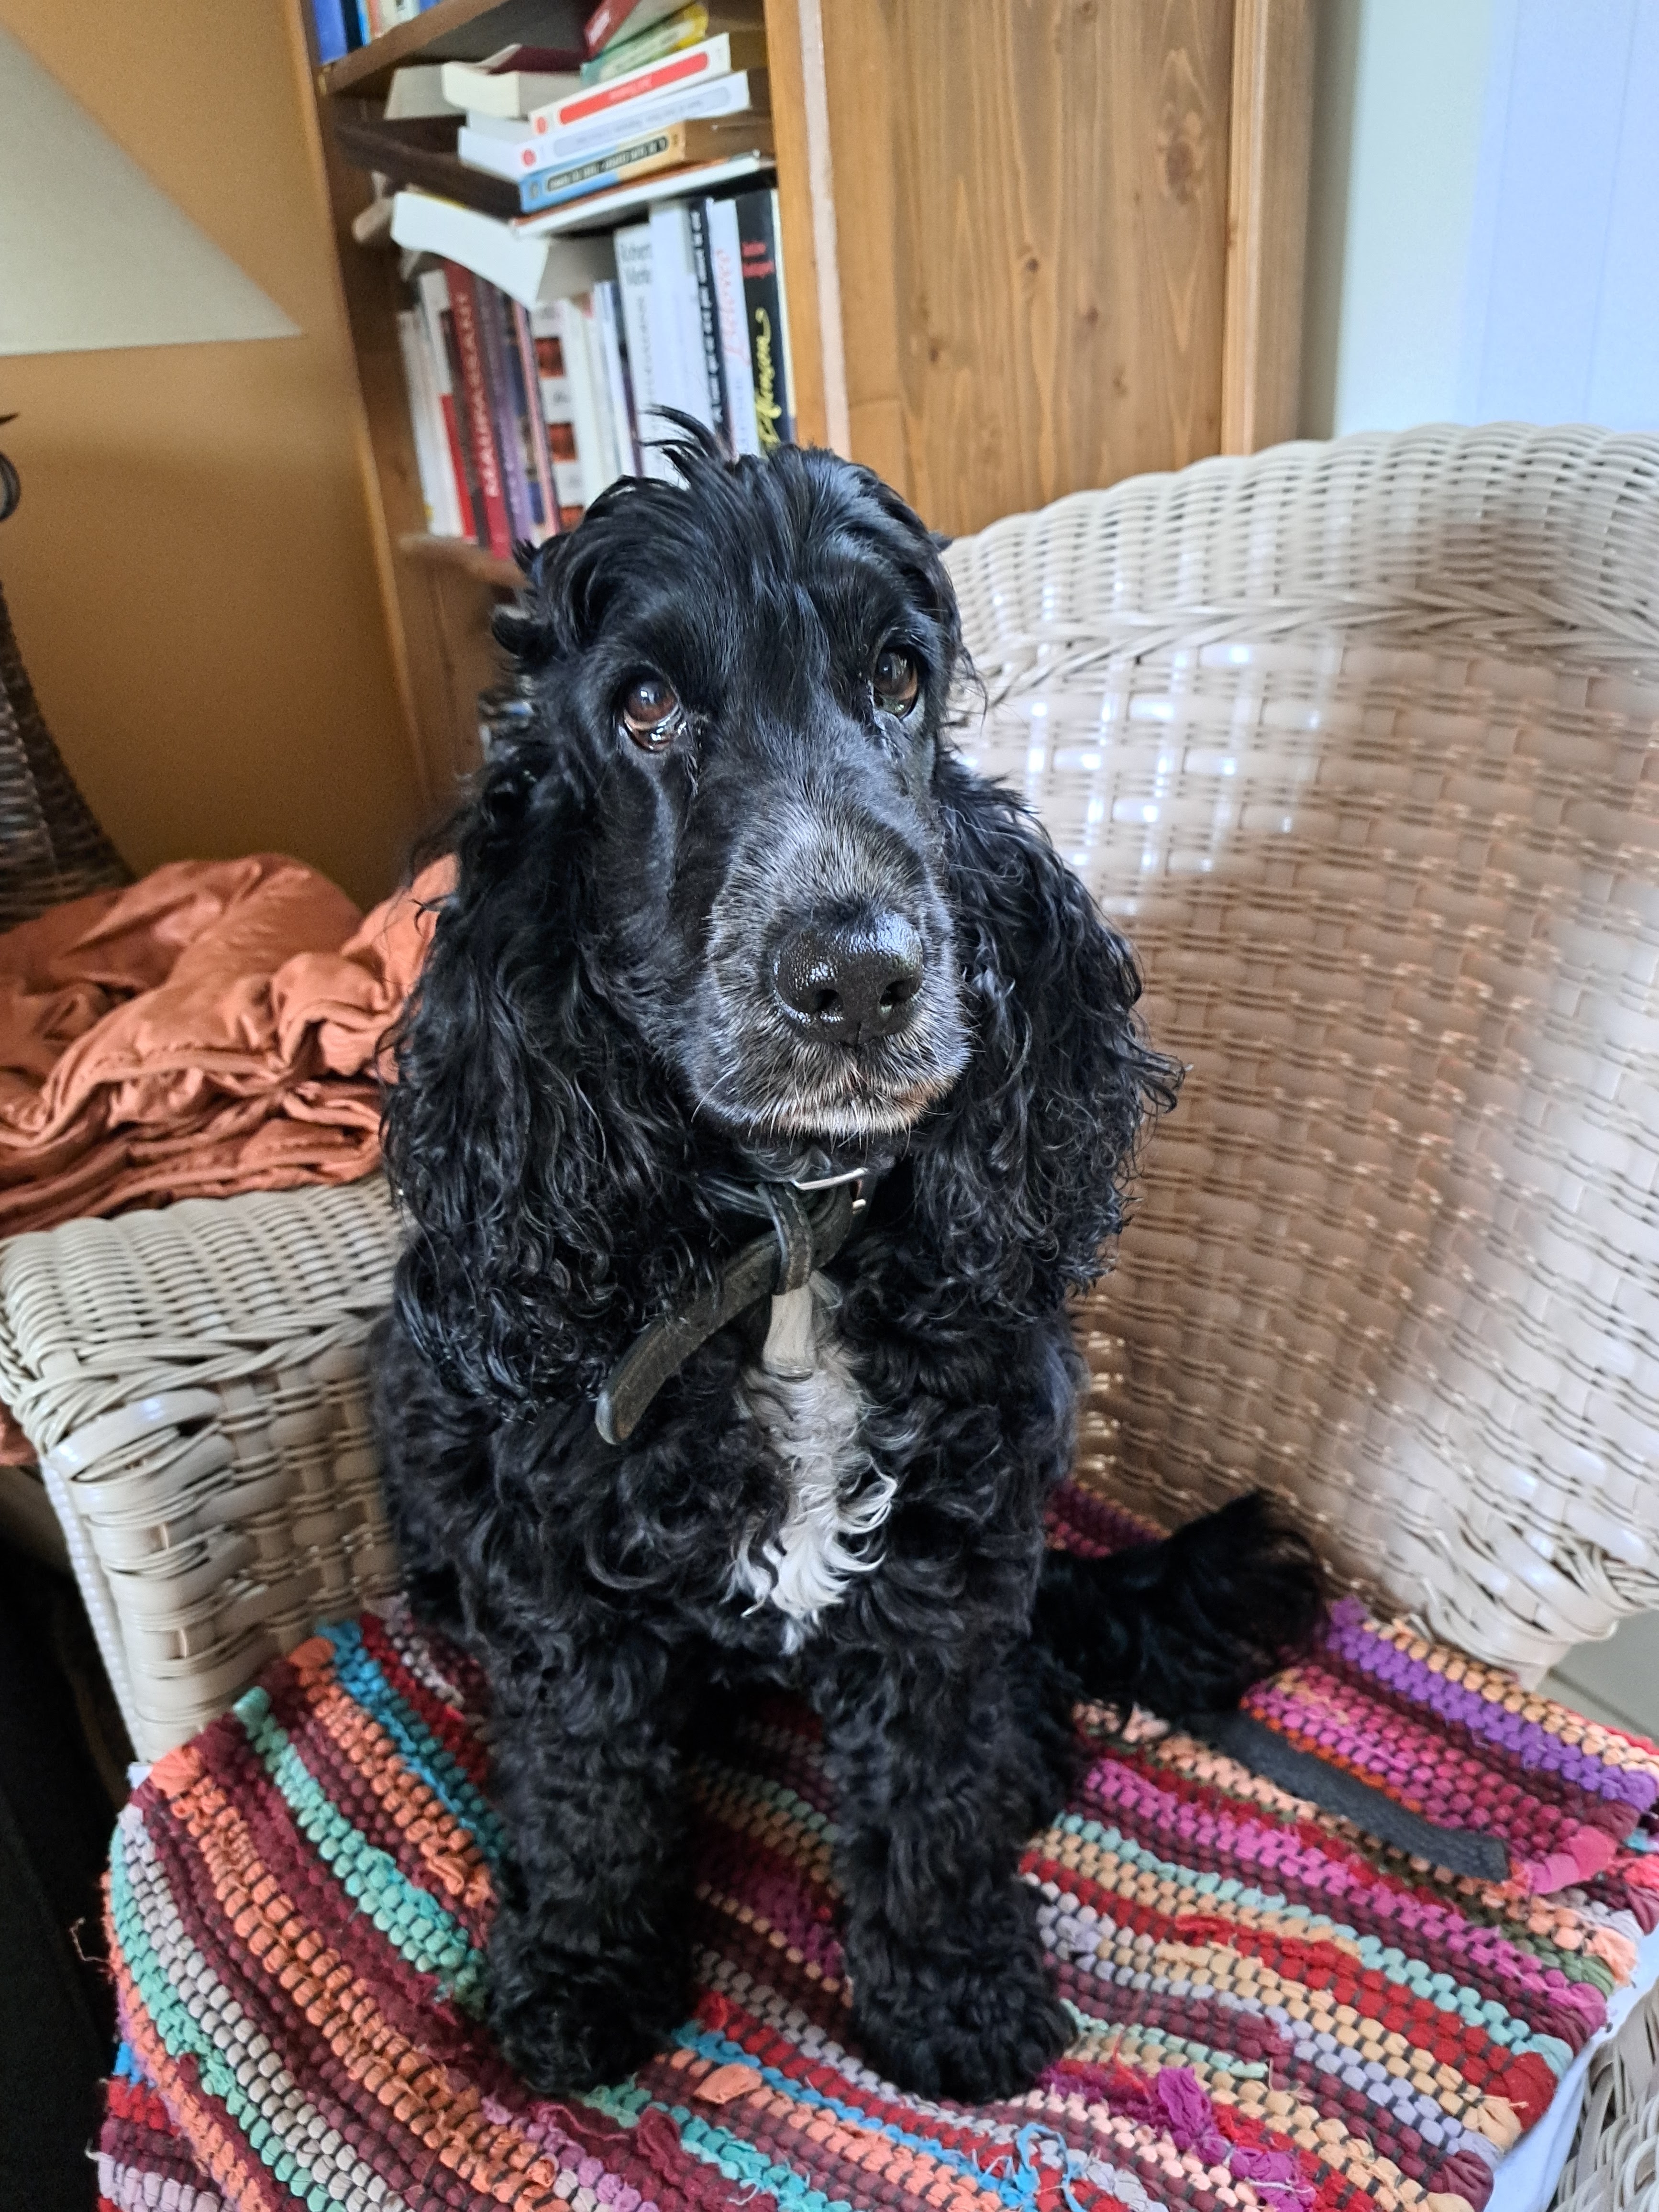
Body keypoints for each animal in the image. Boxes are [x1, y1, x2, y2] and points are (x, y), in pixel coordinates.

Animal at [371, 426, 1324, 2105]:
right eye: (643, 704)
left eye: (897, 676)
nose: (860, 975)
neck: (786, 1243)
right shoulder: (552, 1569)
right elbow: (583, 1787)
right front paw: (578, 1977)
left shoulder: (952, 1545)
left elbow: (930, 1793)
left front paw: (951, 1995)